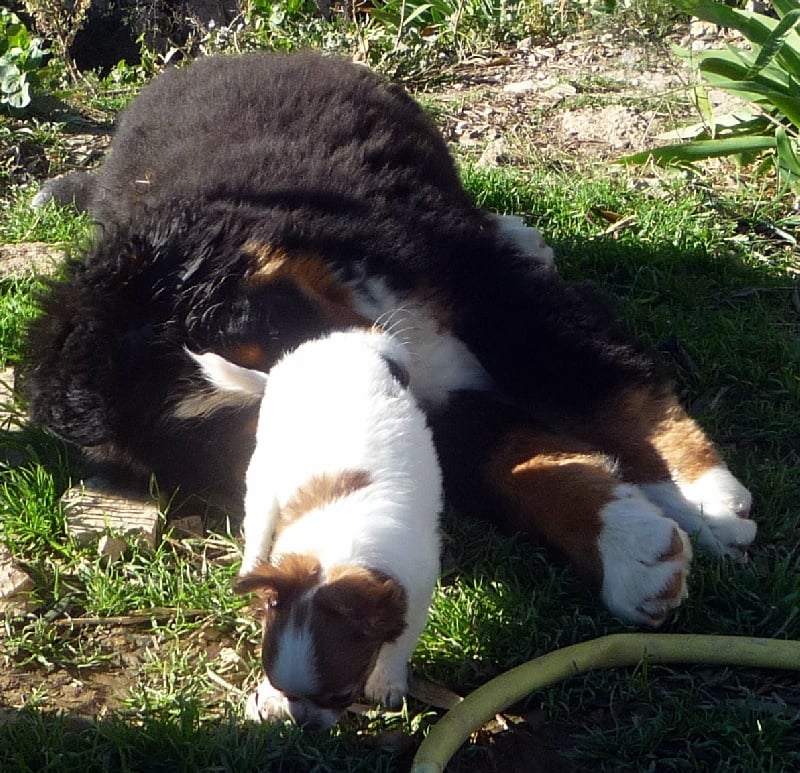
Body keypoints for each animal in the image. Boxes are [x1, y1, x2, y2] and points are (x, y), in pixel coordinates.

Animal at [21, 52, 752, 632]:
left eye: (249, 326)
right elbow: (521, 461)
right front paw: (627, 546)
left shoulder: (483, 286)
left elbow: (604, 384)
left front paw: (701, 494)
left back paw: (521, 231)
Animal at [191, 330, 446, 728]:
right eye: (280, 686)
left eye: (343, 696)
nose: (304, 722)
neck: (335, 556)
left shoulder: (415, 592)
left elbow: (399, 642)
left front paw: (386, 681)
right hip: (263, 474)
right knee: (258, 524)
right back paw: (252, 569)